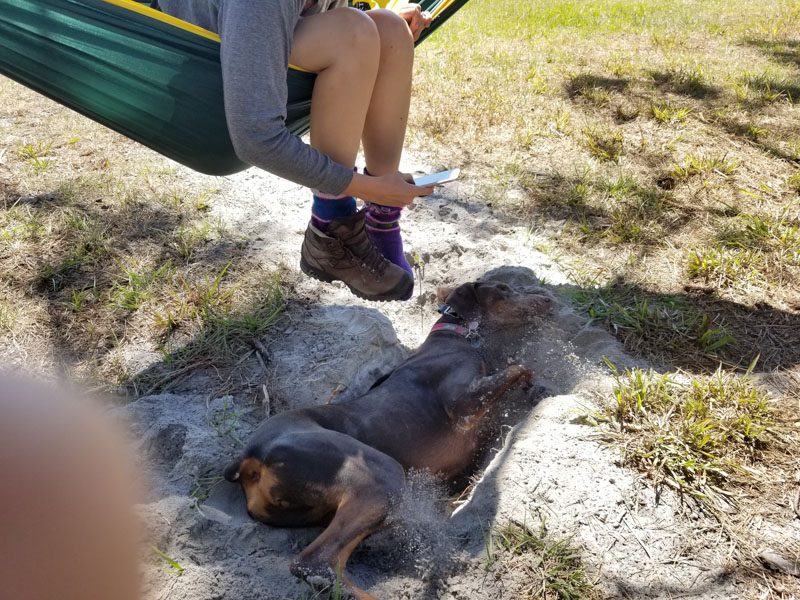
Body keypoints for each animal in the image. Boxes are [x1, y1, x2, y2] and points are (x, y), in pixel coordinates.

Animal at [222, 282, 552, 600]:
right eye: (504, 289)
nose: (548, 300)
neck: (454, 333)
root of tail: (248, 456)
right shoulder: (463, 404)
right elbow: (519, 367)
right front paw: (536, 386)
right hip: (378, 472)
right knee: (314, 564)